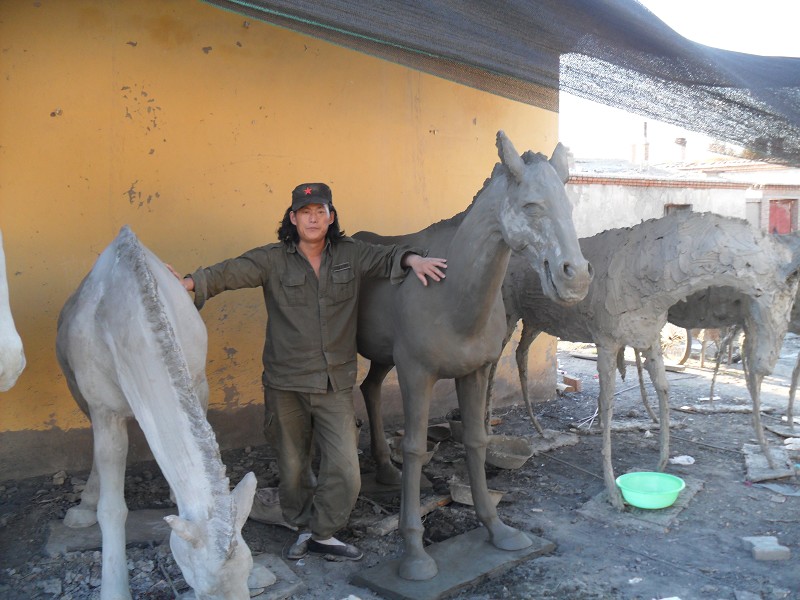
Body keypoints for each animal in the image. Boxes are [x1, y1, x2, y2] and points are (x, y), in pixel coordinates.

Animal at [354, 132, 592, 580]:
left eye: (570, 207)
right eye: (531, 205)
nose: (577, 278)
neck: (449, 295)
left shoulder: (475, 372)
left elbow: (476, 440)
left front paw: (497, 529)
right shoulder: (416, 374)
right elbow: (414, 447)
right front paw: (415, 554)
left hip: (382, 358)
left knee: (370, 389)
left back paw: (384, 468)